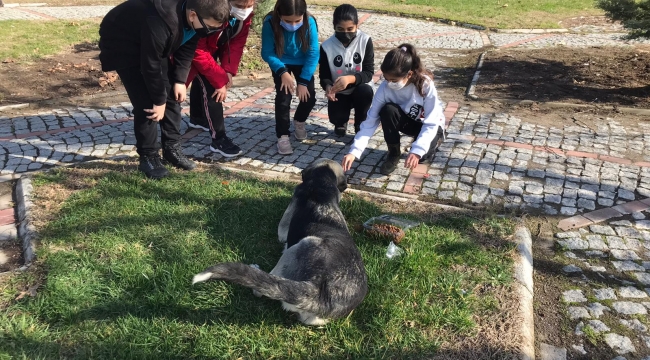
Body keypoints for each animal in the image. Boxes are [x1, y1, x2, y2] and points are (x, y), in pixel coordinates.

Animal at [190, 159, 368, 324]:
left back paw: (256, 269)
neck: (321, 184)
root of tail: (321, 294)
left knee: (264, 286)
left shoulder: (283, 229)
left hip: (302, 245)